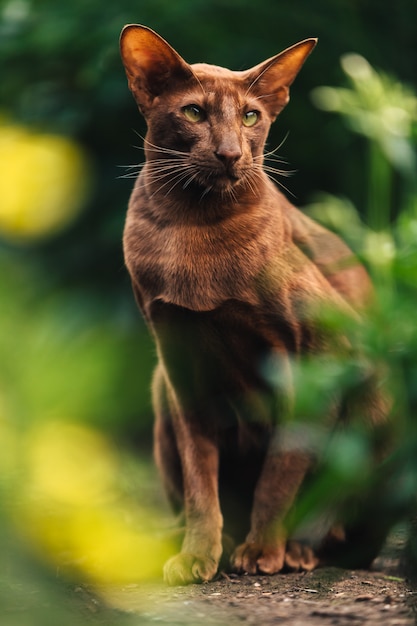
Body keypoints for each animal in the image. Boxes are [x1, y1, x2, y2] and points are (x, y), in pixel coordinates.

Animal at [119, 23, 390, 580]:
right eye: (194, 112)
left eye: (250, 117)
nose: (229, 154)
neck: (191, 228)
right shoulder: (180, 367)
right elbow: (200, 480)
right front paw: (197, 555)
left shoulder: (319, 354)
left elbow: (282, 470)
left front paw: (264, 550)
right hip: (159, 387)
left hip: (376, 394)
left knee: (347, 523)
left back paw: (298, 552)